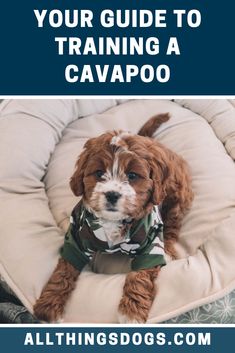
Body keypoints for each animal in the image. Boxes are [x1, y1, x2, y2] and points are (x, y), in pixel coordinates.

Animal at [34, 113, 194, 322]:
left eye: (132, 175)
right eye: (99, 173)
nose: (111, 194)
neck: (113, 221)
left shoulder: (150, 245)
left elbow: (140, 276)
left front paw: (131, 313)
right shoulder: (76, 237)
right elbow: (65, 268)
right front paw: (49, 304)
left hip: (177, 194)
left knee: (173, 225)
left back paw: (167, 248)